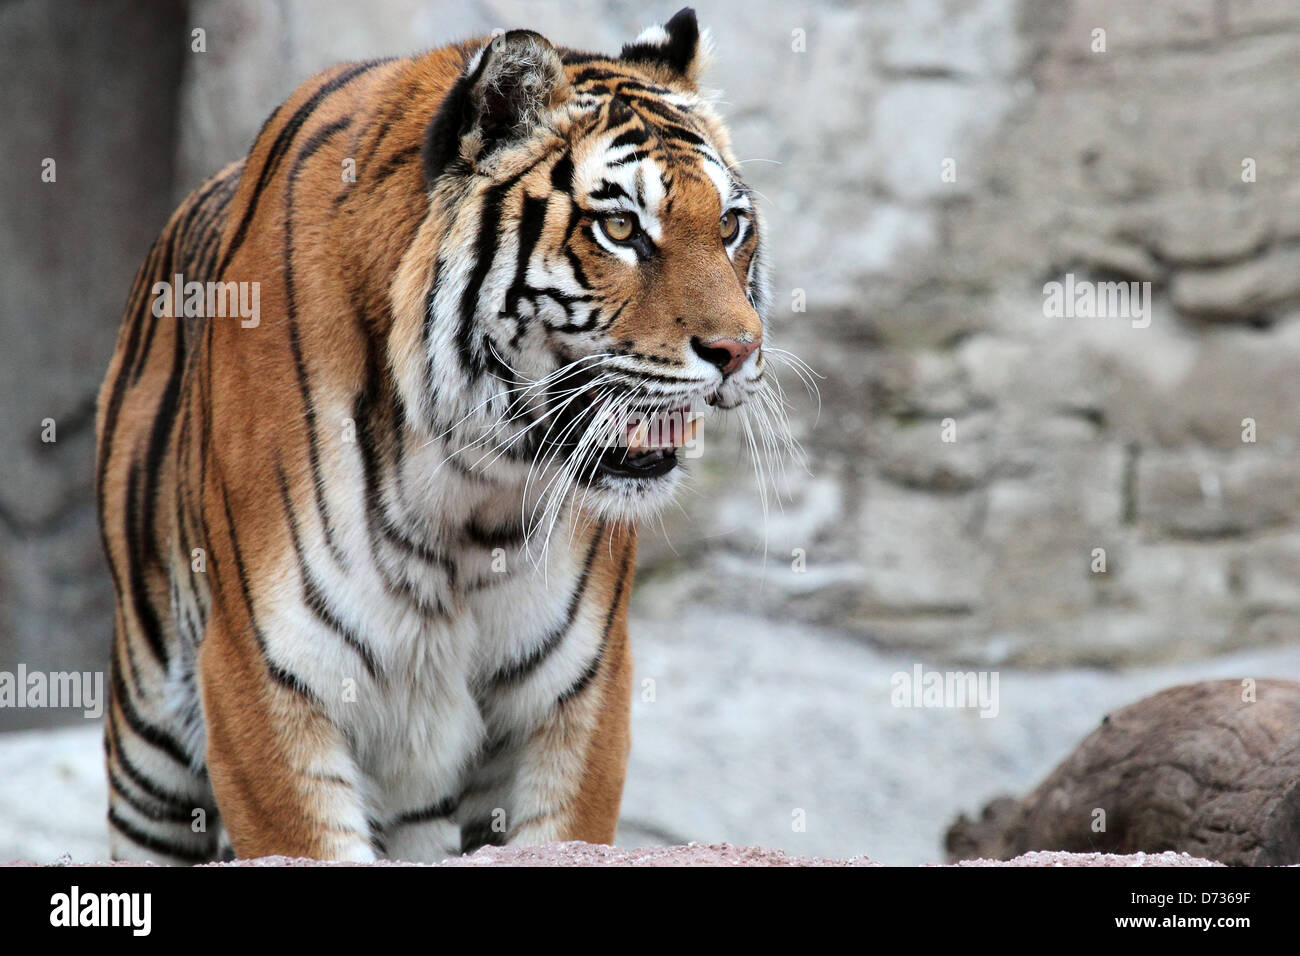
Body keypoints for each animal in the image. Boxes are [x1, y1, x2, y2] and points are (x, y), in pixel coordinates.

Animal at [96, 7, 790, 863]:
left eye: (729, 225)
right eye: (621, 227)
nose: (740, 350)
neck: (473, 490)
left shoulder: (577, 691)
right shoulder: (261, 675)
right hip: (150, 740)